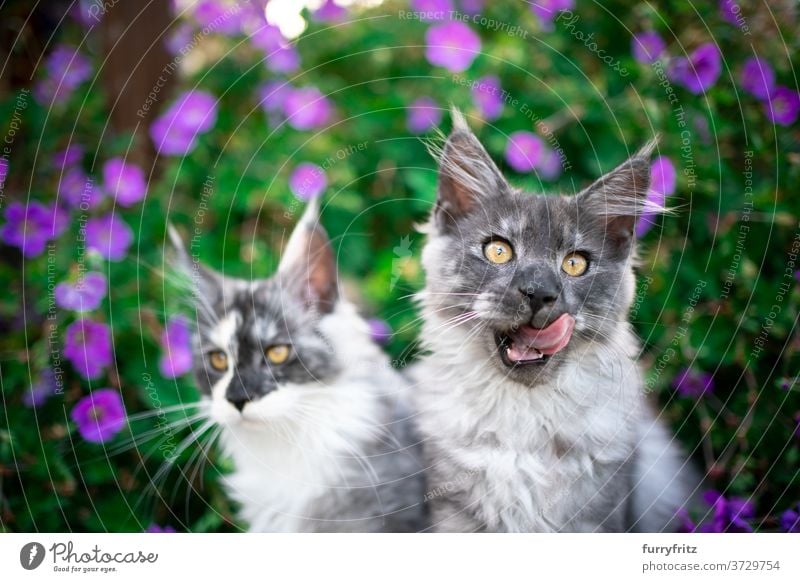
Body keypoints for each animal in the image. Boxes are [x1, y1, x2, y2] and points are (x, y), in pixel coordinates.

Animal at [416, 112, 696, 536]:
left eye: (574, 264)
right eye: (498, 251)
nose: (538, 293)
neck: (523, 420)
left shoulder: (598, 515)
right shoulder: (453, 513)